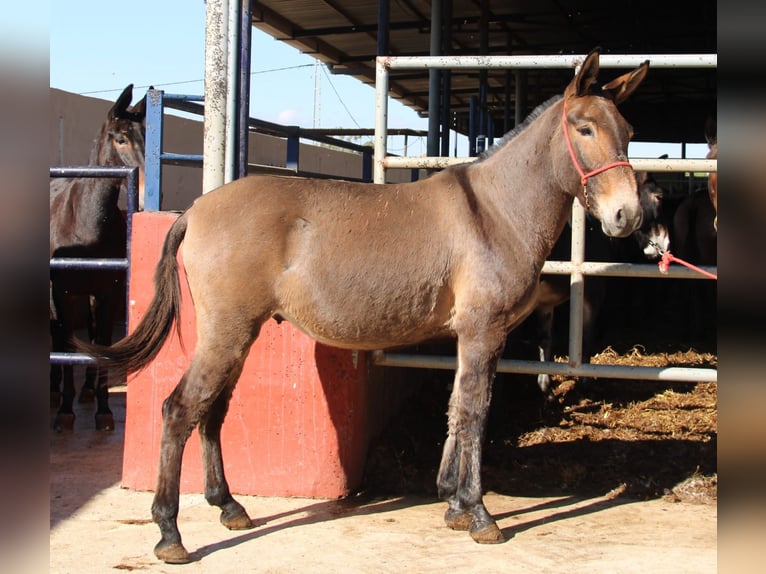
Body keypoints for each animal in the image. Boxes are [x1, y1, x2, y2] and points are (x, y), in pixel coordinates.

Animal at [50, 84, 146, 431]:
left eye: (148, 133)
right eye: (120, 138)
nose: (144, 193)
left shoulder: (107, 293)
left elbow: (101, 342)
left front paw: (104, 409)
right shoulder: (62, 293)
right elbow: (65, 341)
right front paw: (65, 411)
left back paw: (89, 390)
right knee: (57, 337)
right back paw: (56, 392)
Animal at [79, 50, 649, 563]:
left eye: (628, 130)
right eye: (583, 128)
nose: (628, 217)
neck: (494, 211)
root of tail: (195, 209)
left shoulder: (470, 336)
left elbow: (455, 407)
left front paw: (452, 503)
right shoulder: (484, 332)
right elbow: (474, 410)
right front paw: (479, 514)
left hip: (237, 334)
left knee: (211, 410)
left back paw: (229, 507)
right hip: (227, 334)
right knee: (179, 410)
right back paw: (170, 533)